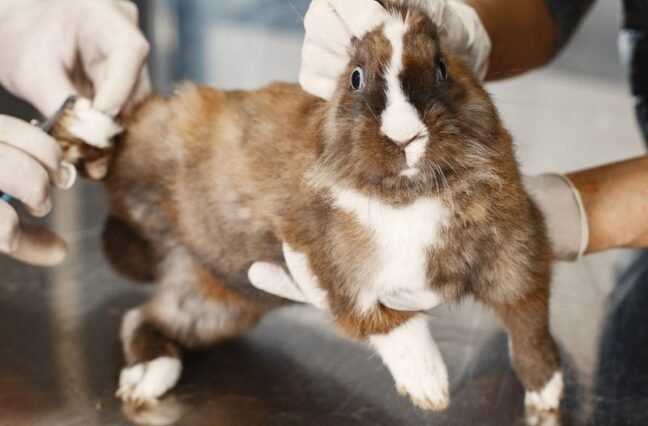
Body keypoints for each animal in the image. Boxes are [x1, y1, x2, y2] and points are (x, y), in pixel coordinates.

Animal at [53, 1, 562, 413]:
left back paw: (148, 377)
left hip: (217, 302)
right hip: (151, 145)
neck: (409, 196)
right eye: (355, 78)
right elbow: (393, 325)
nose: (405, 137)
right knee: (115, 146)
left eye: (442, 68)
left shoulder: (517, 256)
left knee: (144, 318)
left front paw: (547, 393)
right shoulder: (338, 273)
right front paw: (430, 387)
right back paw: (86, 122)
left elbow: (528, 325)